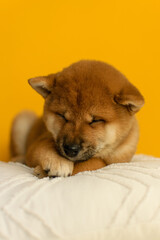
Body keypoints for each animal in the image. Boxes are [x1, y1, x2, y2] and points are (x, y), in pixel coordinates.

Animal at [10, 60, 145, 176]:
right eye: (62, 116)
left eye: (95, 120)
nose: (70, 149)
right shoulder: (39, 142)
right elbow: (45, 146)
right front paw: (57, 161)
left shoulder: (120, 159)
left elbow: (94, 162)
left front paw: (43, 171)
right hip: (22, 119)